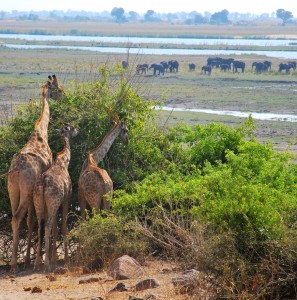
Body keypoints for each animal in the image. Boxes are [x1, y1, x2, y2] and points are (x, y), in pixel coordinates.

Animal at [33, 123, 78, 270]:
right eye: (71, 128)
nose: (78, 130)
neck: (64, 162)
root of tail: (43, 184)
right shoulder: (66, 199)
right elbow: (63, 227)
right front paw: (65, 260)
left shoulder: (49, 205)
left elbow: (54, 230)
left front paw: (54, 259)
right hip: (54, 201)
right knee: (47, 226)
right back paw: (46, 265)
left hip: (39, 203)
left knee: (41, 228)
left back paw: (37, 264)